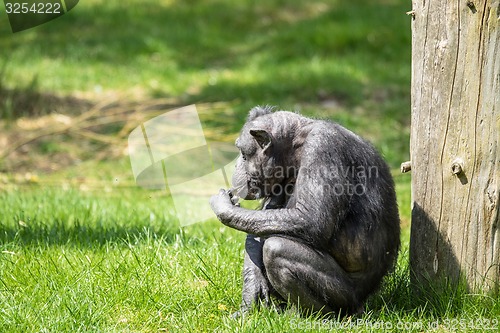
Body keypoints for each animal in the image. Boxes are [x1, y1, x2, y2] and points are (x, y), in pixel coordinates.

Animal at [209, 105, 400, 316]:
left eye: (243, 154)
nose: (236, 164)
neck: (296, 149)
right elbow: (259, 225)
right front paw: (250, 297)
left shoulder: (323, 146)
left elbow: (312, 220)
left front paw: (223, 206)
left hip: (349, 297)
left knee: (277, 248)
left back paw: (311, 315)